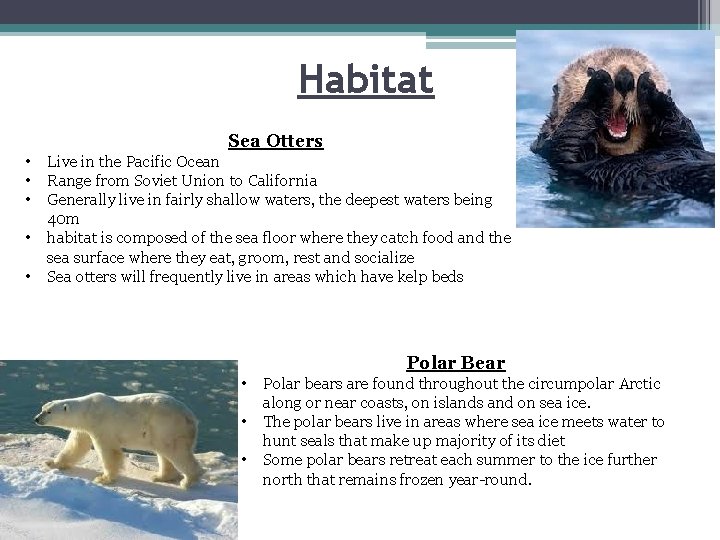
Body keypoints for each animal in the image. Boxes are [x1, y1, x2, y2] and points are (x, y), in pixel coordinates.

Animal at [531, 47, 714, 206]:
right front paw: (599, 85)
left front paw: (651, 89)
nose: (624, 78)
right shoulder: (555, 152)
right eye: (589, 70)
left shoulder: (687, 141)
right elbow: (570, 135)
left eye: (644, 70)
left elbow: (685, 132)